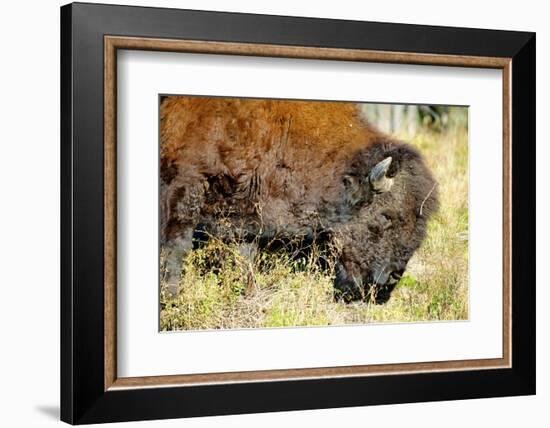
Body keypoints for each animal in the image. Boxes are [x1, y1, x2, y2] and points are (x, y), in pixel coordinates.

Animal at [161, 97, 440, 304]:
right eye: (386, 216)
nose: (393, 276)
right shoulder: (182, 186)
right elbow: (175, 246)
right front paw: (171, 296)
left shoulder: (244, 211)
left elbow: (244, 256)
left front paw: (248, 292)